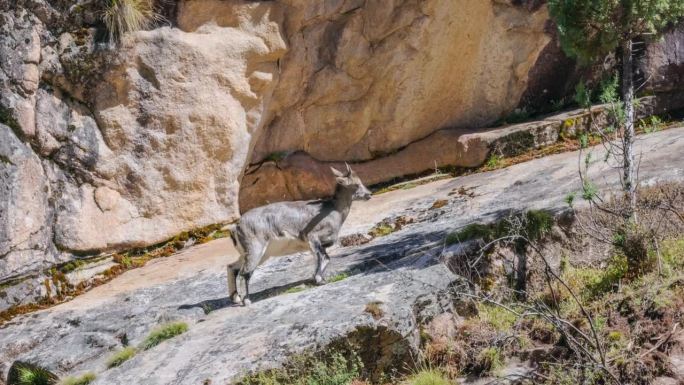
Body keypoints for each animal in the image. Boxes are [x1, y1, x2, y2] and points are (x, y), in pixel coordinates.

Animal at [227, 164, 372, 304]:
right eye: (356, 184)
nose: (369, 194)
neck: (333, 210)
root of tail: (236, 227)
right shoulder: (312, 237)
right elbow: (323, 257)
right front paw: (319, 279)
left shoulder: (318, 245)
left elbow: (324, 258)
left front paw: (317, 278)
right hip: (255, 249)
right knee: (245, 273)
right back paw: (246, 300)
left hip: (256, 254)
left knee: (232, 267)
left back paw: (236, 298)